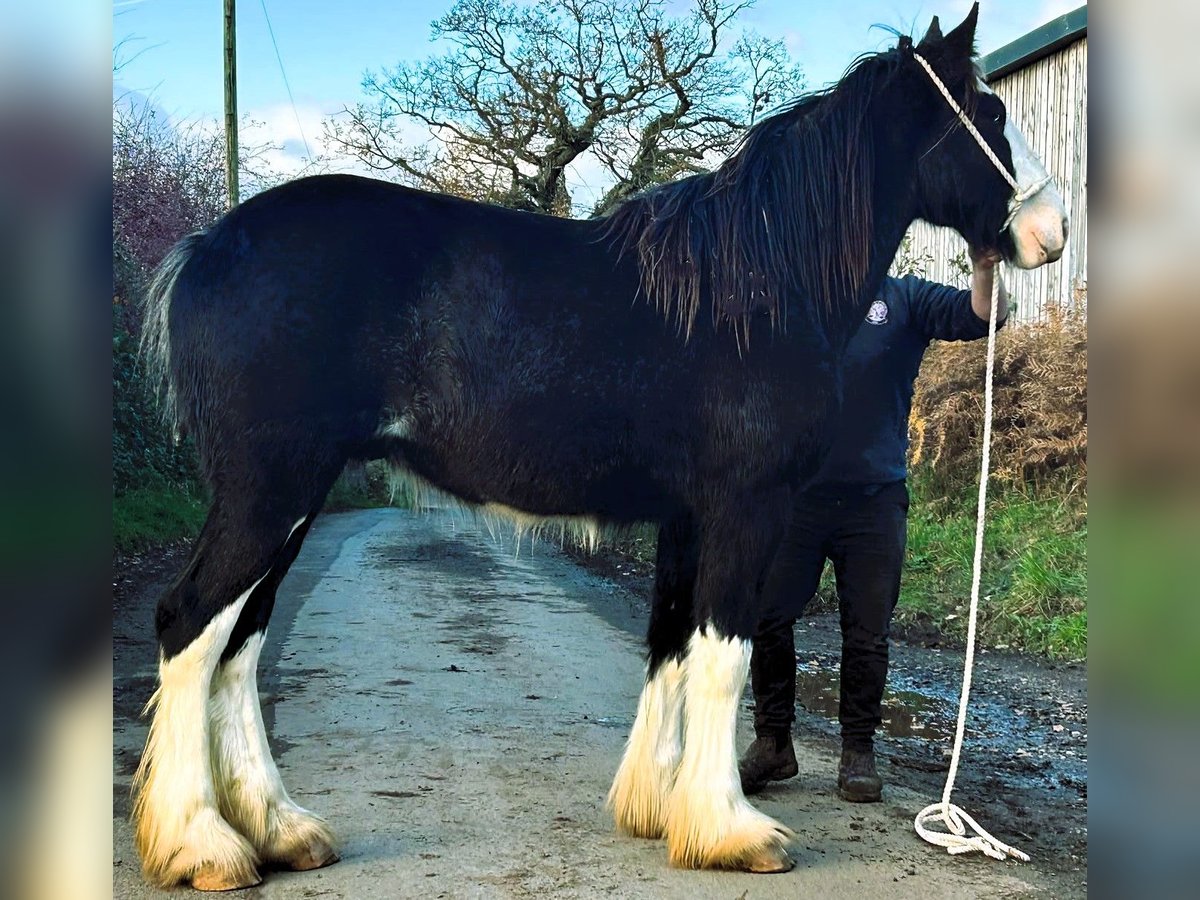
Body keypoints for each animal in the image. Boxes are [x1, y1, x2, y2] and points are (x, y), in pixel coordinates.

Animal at [133, 7, 1070, 892]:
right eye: (990, 112)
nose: (1052, 228)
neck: (758, 285)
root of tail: (204, 249)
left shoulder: (686, 518)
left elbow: (671, 645)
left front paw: (659, 810)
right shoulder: (745, 508)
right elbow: (724, 655)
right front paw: (732, 831)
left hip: (295, 496)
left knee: (240, 641)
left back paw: (279, 830)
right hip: (271, 489)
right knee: (191, 624)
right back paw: (201, 845)